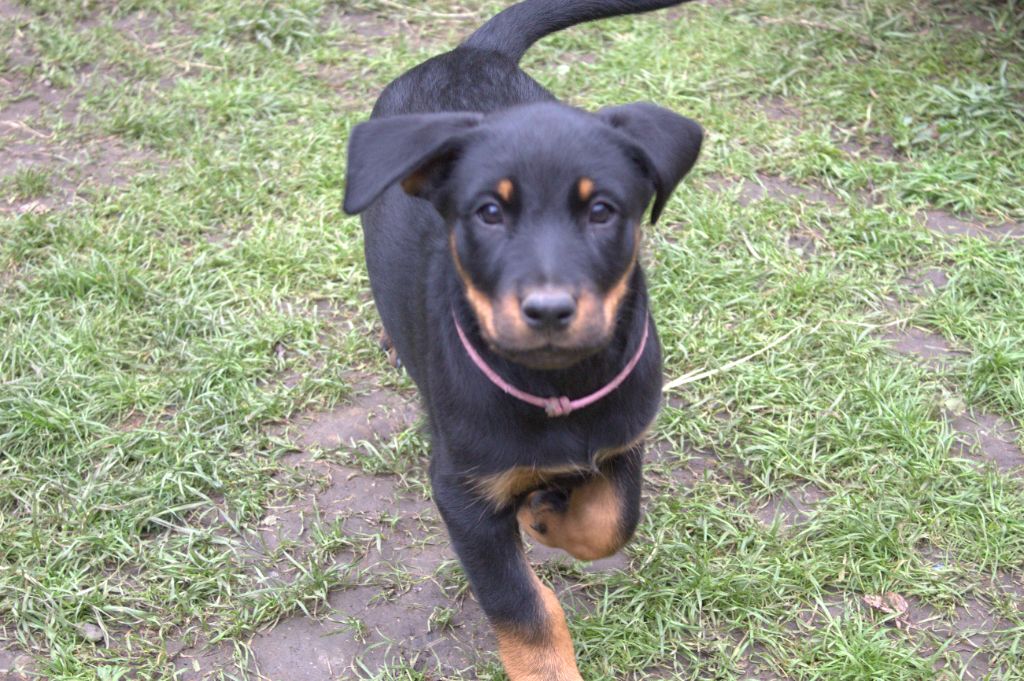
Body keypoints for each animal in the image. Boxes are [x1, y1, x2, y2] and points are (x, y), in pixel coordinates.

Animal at [343, 1, 701, 678]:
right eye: (488, 212)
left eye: (602, 211)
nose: (549, 309)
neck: (556, 385)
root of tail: (469, 52)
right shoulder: (464, 494)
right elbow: (523, 611)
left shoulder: (623, 435)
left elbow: (613, 520)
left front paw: (547, 517)